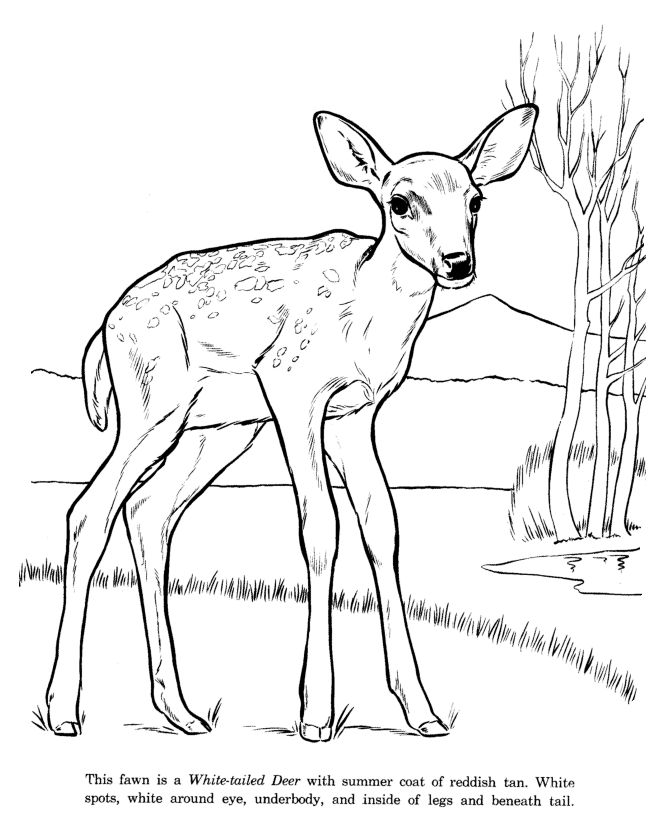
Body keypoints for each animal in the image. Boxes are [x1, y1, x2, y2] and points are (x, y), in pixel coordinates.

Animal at [46, 105, 537, 741]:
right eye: (399, 201)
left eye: (476, 199)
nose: (457, 263)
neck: (367, 318)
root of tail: (106, 325)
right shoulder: (292, 388)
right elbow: (321, 526)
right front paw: (316, 714)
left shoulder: (355, 414)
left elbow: (381, 525)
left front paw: (423, 712)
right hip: (152, 407)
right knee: (89, 511)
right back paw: (63, 711)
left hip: (216, 429)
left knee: (147, 512)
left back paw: (182, 711)